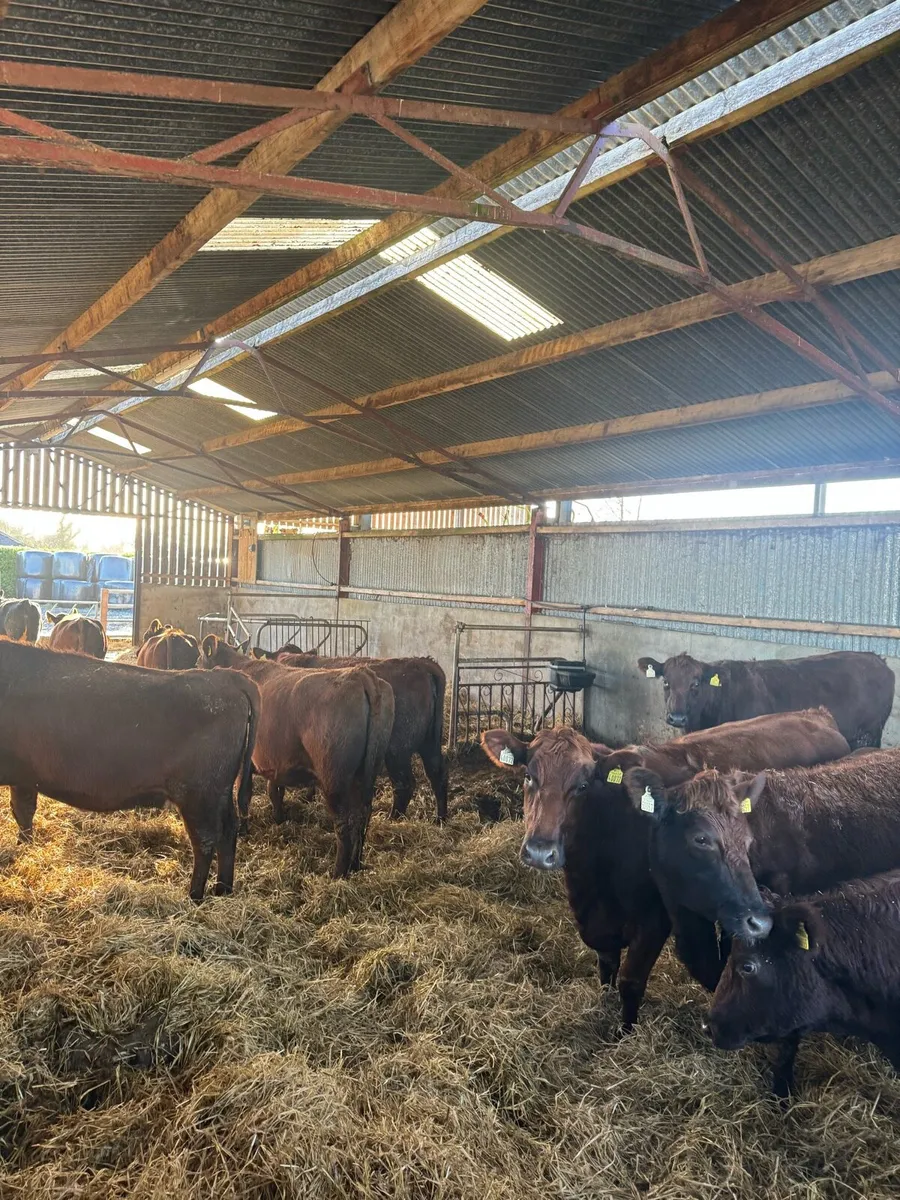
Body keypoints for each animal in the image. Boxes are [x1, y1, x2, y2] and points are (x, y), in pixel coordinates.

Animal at [0, 640, 258, 900]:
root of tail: (226, 677)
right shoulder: (24, 779)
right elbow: (23, 811)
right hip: (218, 794)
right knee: (227, 833)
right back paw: (222, 890)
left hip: (199, 796)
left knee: (205, 840)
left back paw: (194, 896)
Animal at [199, 636, 394, 877]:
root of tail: (360, 675)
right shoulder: (275, 761)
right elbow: (274, 791)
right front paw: (279, 818)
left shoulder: (245, 760)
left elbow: (243, 795)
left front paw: (244, 829)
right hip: (366, 774)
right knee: (363, 816)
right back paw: (356, 865)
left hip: (335, 780)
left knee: (344, 823)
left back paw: (338, 873)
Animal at [264, 649, 448, 821]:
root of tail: (421, 663)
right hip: (429, 742)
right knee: (437, 774)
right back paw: (440, 818)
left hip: (398, 750)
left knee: (405, 784)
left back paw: (392, 818)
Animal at [480, 709, 848, 1029]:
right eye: (529, 776)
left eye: (582, 786)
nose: (540, 851)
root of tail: (815, 714)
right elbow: (606, 966)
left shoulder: (654, 918)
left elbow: (630, 981)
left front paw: (624, 1033)